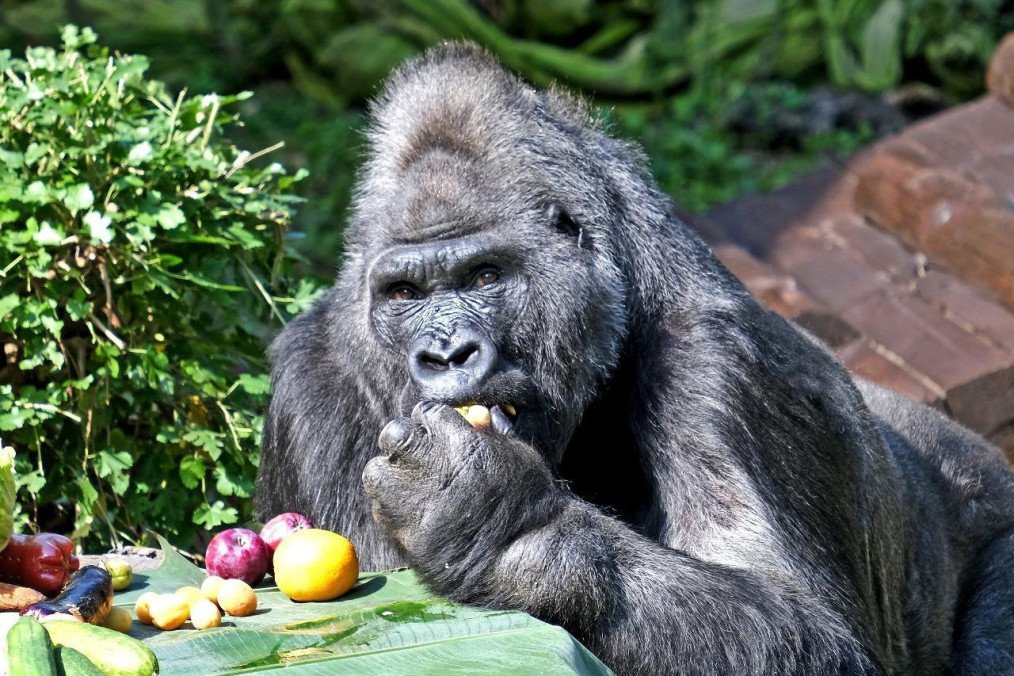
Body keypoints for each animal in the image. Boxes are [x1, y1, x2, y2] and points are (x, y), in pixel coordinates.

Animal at [257, 44, 1014, 672]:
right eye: (404, 294)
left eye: (484, 276)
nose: (446, 355)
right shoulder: (310, 378)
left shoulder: (717, 360)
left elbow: (814, 634)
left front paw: (487, 516)